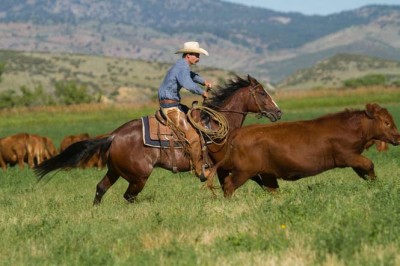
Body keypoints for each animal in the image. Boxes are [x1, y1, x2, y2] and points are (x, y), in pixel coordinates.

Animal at [36, 76, 282, 205]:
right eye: (262, 93)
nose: (278, 112)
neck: (216, 125)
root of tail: (115, 135)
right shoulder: (225, 166)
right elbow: (253, 179)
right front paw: (275, 194)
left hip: (115, 171)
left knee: (101, 188)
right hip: (139, 177)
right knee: (128, 196)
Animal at [206, 103, 400, 197]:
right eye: (386, 122)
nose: (398, 137)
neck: (350, 127)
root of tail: (239, 132)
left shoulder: (353, 159)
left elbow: (364, 171)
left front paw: (373, 184)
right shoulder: (347, 156)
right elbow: (369, 164)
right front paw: (376, 184)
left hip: (266, 173)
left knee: (272, 190)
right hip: (244, 171)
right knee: (229, 185)